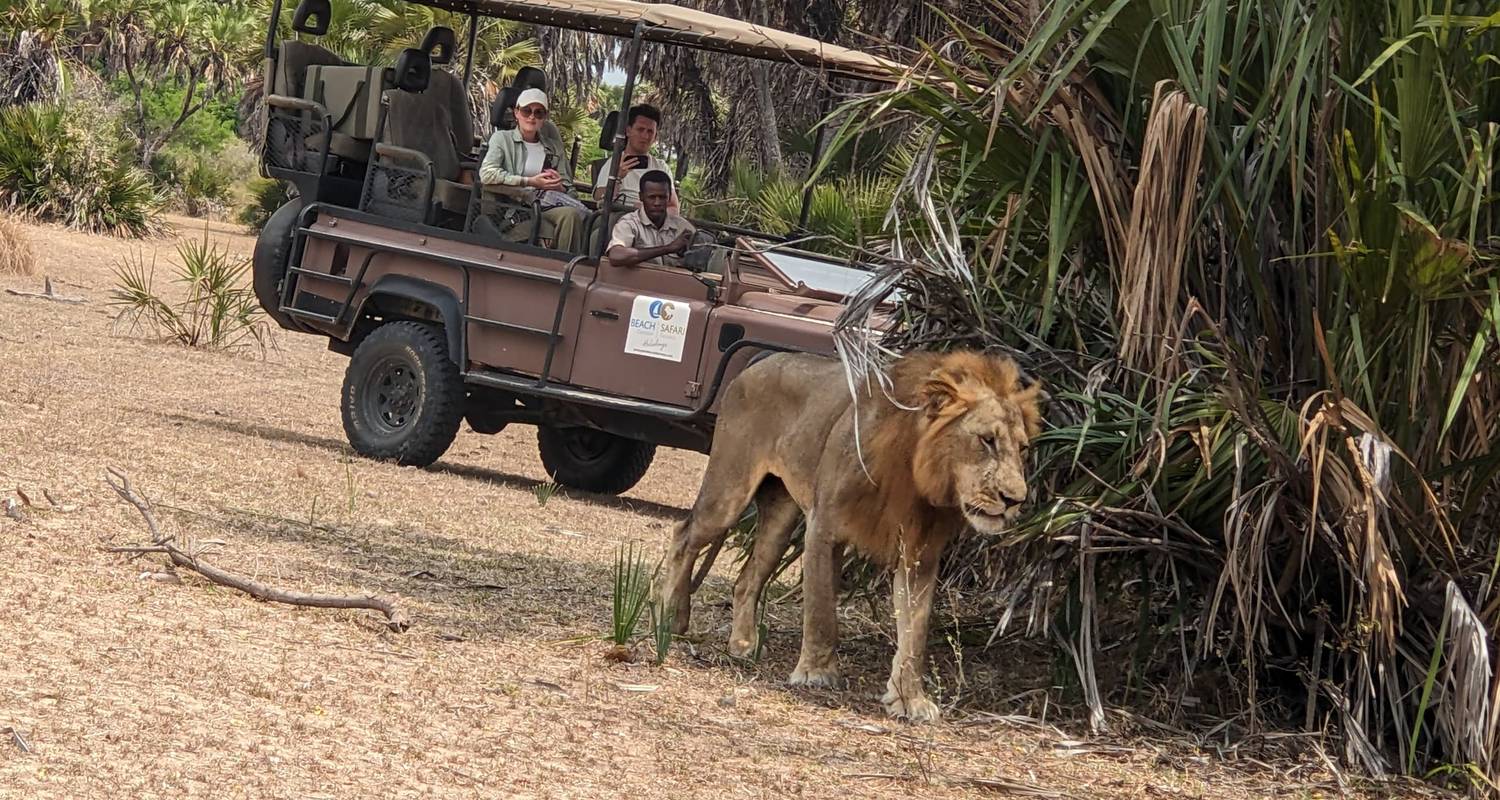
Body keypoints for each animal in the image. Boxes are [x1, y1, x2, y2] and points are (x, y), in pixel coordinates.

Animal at [663, 348, 1038, 717]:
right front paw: (816, 673)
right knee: (684, 535)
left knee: (747, 579)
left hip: (781, 517)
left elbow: (915, 633)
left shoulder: (920, 554)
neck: (914, 475)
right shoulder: (823, 527)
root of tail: (758, 363)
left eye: (1022, 449)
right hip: (729, 492)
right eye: (987, 440)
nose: (1015, 500)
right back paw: (670, 616)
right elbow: (821, 610)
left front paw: (910, 698)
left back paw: (742, 644)